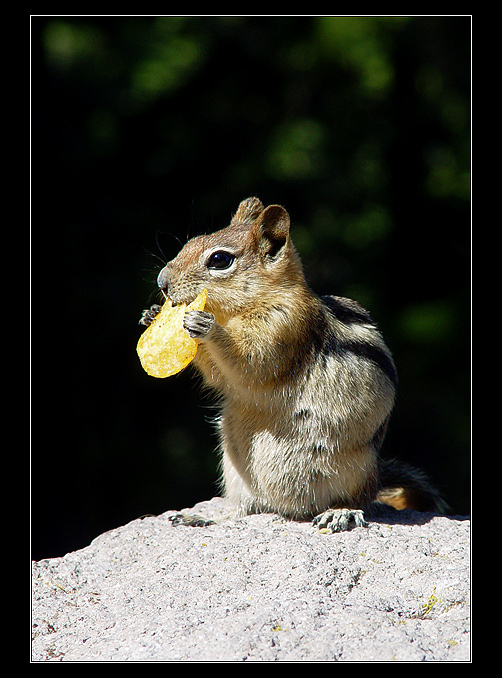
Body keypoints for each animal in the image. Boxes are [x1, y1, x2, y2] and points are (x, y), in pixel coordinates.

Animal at [140, 197, 448, 531]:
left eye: (220, 260)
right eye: (191, 242)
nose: (161, 282)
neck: (257, 301)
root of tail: (290, 508)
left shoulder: (285, 328)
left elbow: (252, 362)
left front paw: (207, 326)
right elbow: (219, 376)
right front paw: (152, 313)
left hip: (356, 469)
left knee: (360, 498)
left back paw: (341, 512)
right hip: (236, 472)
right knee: (243, 510)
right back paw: (202, 518)